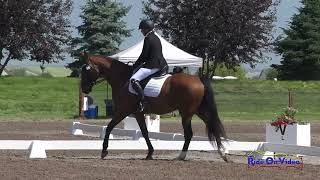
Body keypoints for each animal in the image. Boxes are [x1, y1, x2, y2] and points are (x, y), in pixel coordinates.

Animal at [80, 52, 229, 162]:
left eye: (86, 71)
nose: (84, 89)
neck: (122, 79)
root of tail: (198, 79)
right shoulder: (137, 113)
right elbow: (144, 132)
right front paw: (150, 153)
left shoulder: (123, 110)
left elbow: (109, 127)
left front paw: (104, 151)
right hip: (199, 111)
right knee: (212, 127)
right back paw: (222, 154)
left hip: (186, 113)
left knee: (189, 134)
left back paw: (181, 156)